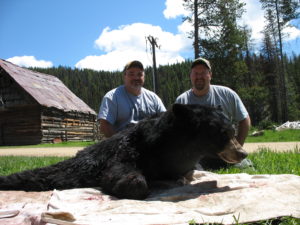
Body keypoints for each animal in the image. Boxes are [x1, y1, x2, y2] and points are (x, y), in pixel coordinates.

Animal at [0, 103, 247, 199]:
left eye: (232, 131)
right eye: (223, 133)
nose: (243, 153)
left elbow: (185, 173)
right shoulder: (129, 150)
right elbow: (120, 173)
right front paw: (130, 185)